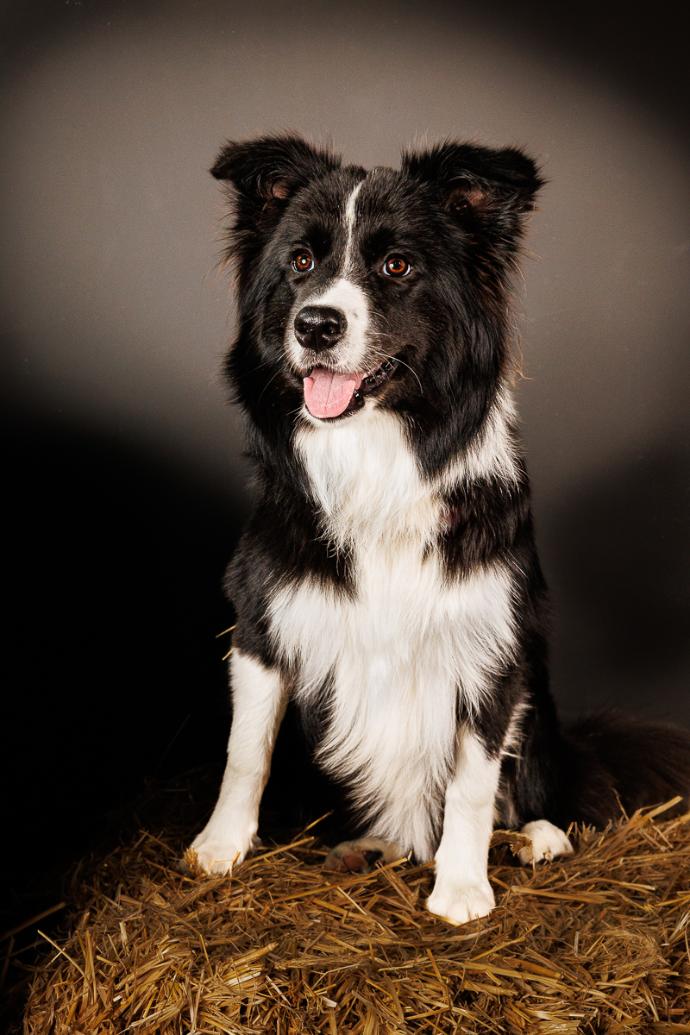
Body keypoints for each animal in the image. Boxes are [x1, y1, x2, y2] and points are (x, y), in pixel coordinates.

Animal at [189, 131, 690, 923]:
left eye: (397, 266)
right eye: (300, 262)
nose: (316, 323)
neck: (378, 455)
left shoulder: (492, 643)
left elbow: (473, 780)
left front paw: (461, 888)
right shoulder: (261, 617)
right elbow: (246, 750)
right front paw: (219, 846)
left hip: (540, 709)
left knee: (553, 792)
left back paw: (534, 838)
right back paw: (365, 845)